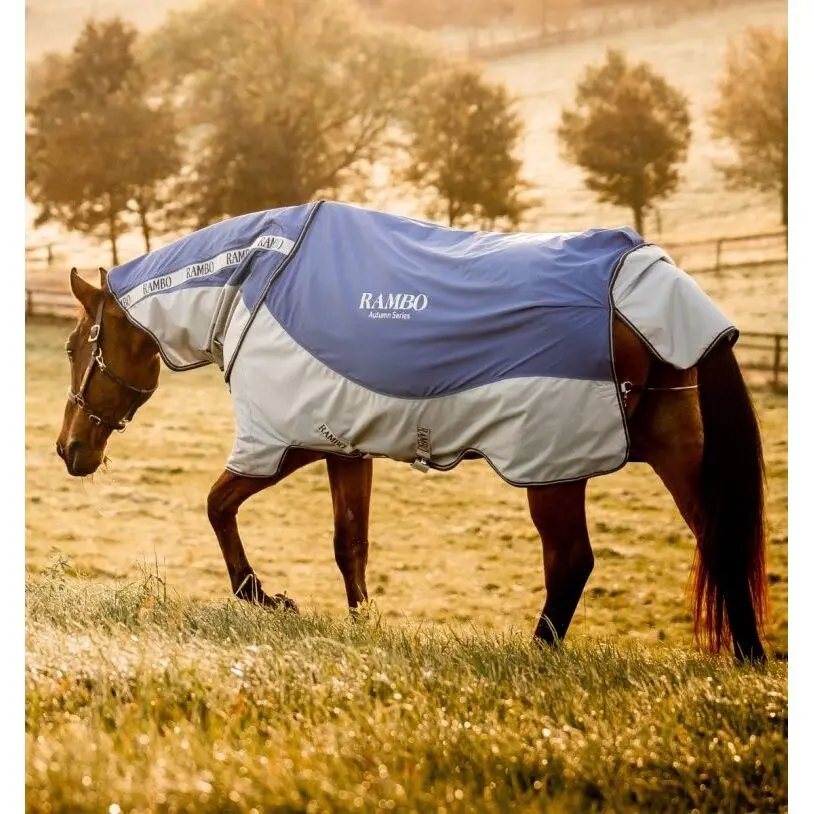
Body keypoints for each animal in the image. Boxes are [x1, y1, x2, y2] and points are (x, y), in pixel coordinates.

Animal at [55, 207, 769, 663]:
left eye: (73, 346)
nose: (69, 449)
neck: (256, 278)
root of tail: (648, 282)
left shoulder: (283, 443)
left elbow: (216, 507)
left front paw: (268, 597)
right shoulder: (344, 445)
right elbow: (350, 543)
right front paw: (361, 625)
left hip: (552, 467)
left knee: (572, 559)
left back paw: (536, 654)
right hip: (675, 447)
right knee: (718, 539)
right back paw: (749, 658)